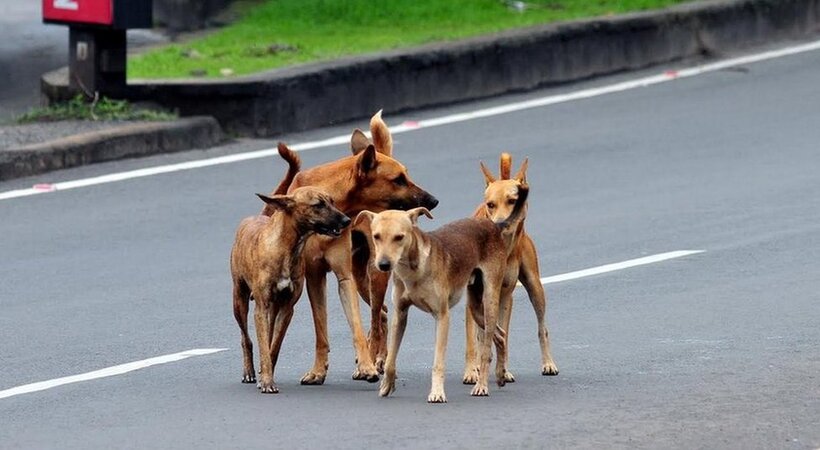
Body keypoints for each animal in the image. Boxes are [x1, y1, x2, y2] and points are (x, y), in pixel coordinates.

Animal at [229, 186, 350, 394]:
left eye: (332, 201)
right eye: (318, 205)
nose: (346, 220)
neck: (286, 247)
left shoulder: (287, 309)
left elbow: (273, 346)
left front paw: (266, 374)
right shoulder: (261, 308)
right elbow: (262, 346)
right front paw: (267, 381)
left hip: (273, 308)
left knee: (267, 336)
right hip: (239, 300)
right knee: (246, 339)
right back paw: (249, 371)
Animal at [266, 111, 438, 384]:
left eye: (406, 176)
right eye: (399, 180)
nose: (433, 201)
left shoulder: (344, 276)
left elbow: (357, 325)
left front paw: (367, 365)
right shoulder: (315, 277)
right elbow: (320, 329)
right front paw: (318, 370)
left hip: (373, 274)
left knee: (378, 318)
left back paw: (375, 358)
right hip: (361, 278)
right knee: (383, 313)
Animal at [462, 153, 556, 384]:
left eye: (513, 201)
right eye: (491, 204)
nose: (500, 223)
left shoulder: (504, 293)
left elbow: (500, 334)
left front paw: (501, 369)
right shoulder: (472, 295)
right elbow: (473, 339)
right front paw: (472, 371)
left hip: (534, 287)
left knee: (541, 327)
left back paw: (547, 363)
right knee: (479, 334)